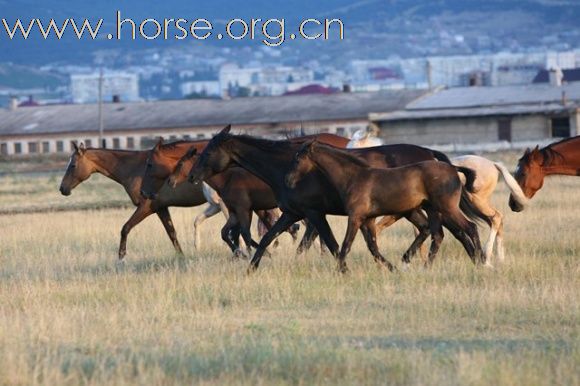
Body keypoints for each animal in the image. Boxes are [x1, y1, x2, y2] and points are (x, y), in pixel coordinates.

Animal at [59, 140, 206, 260]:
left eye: (72, 165)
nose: (62, 188)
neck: (136, 168)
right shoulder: (161, 208)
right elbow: (172, 233)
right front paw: (181, 256)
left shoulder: (146, 207)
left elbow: (125, 228)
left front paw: (121, 257)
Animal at [286, 142, 484, 274]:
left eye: (297, 159)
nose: (288, 180)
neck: (353, 177)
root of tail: (454, 168)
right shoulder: (367, 219)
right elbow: (373, 247)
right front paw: (392, 268)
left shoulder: (356, 217)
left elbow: (347, 244)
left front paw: (341, 270)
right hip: (433, 209)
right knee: (438, 235)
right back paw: (426, 267)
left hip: (447, 208)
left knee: (470, 227)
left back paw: (481, 260)